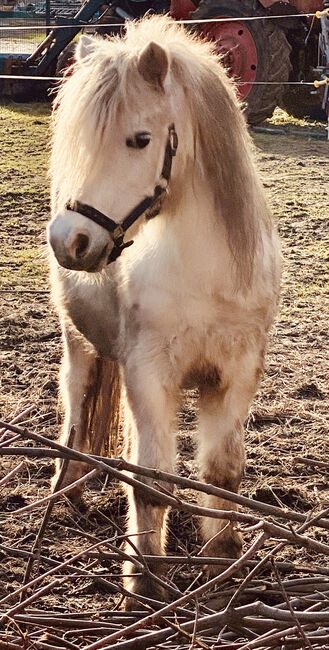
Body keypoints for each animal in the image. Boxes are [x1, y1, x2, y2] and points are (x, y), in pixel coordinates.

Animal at [47, 13, 280, 604]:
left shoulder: (235, 377)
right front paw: (145, 577)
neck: (206, 278)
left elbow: (222, 474)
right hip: (78, 345)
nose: (69, 241)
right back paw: (66, 489)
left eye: (141, 139)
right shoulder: (150, 374)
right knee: (77, 409)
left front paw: (221, 565)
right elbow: (151, 481)